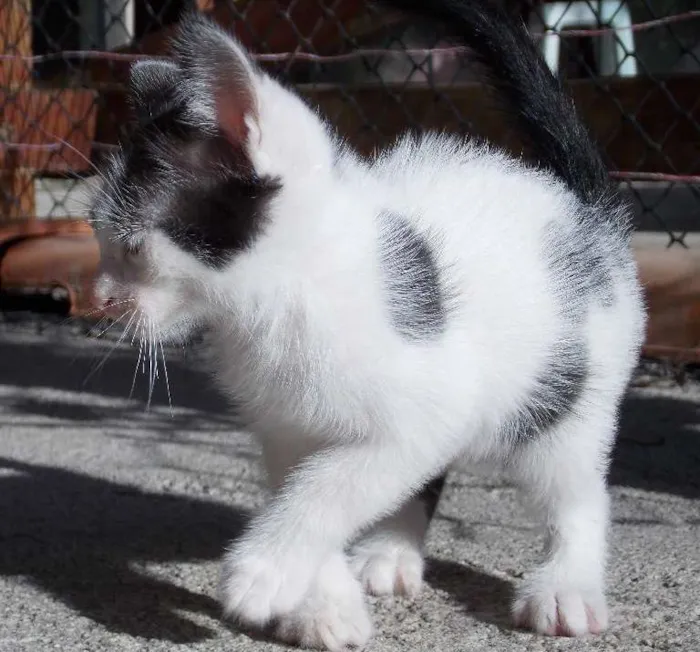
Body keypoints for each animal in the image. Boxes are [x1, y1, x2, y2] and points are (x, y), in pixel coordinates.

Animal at [90, 0, 648, 648]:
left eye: (132, 247)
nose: (99, 298)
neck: (281, 299)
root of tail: (587, 212)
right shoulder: (286, 427)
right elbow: (308, 482)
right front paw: (322, 605)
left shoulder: (426, 408)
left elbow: (332, 485)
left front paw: (263, 571)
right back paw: (391, 552)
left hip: (571, 397)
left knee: (575, 491)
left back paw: (567, 585)